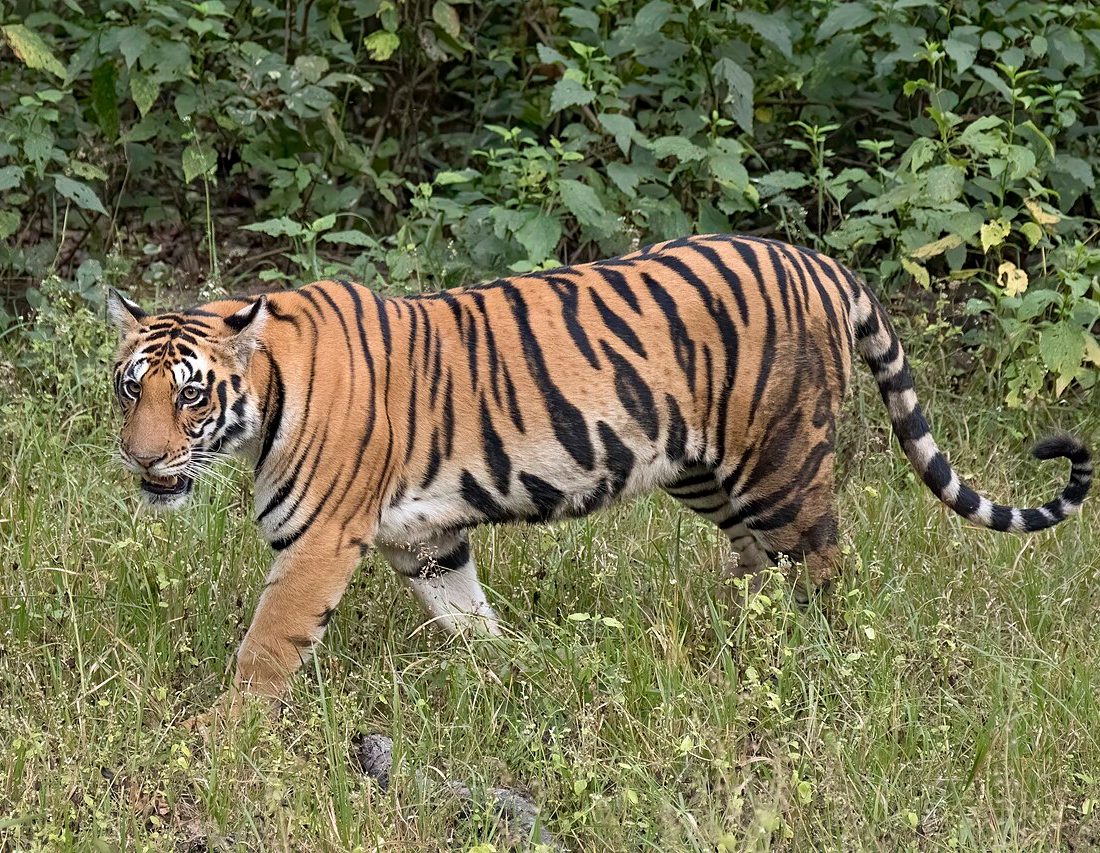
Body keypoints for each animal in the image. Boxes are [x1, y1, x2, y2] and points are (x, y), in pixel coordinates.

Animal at [107, 233, 1092, 719]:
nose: (143, 458)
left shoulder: (317, 541)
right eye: (129, 387)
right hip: (704, 470)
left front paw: (224, 734)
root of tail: (821, 261)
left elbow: (268, 644)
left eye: (190, 395)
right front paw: (508, 671)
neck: (265, 398)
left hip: (782, 463)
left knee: (822, 568)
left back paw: (818, 665)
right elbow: (468, 615)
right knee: (758, 566)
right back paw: (732, 642)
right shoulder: (427, 539)